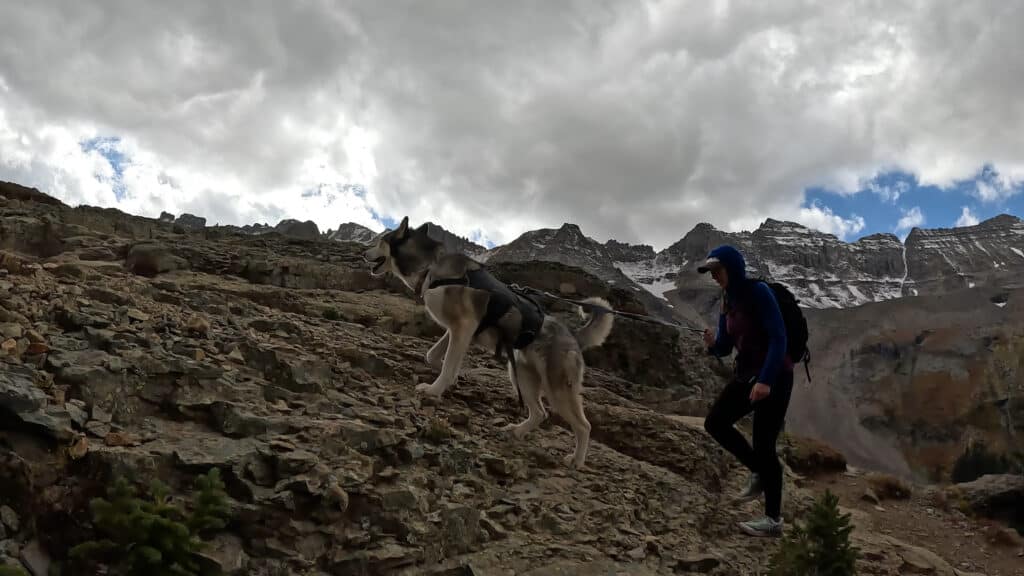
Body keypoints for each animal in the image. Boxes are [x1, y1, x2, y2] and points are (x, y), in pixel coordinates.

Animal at [364, 215, 610, 467]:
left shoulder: (463, 326)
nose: (364, 252)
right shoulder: (458, 331)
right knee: (540, 413)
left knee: (584, 426)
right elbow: (434, 356)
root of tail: (572, 335)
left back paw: (576, 460)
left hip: (558, 388)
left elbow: (448, 365)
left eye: (381, 241)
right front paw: (447, 375)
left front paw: (434, 390)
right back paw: (517, 431)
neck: (430, 266)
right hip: (522, 375)